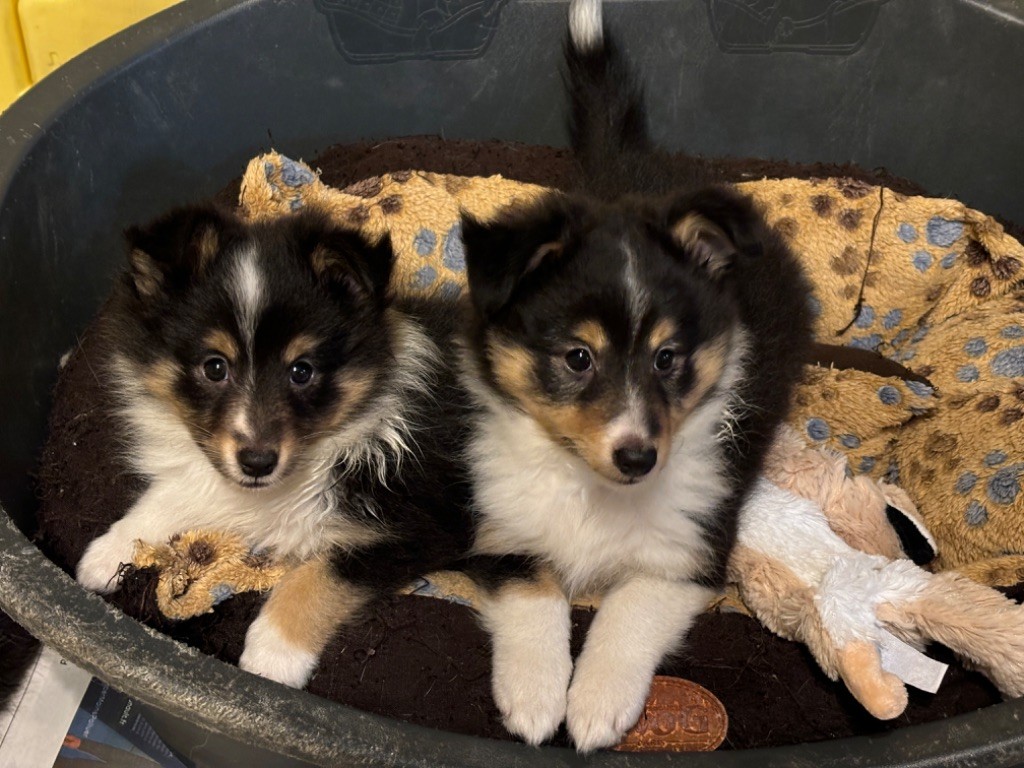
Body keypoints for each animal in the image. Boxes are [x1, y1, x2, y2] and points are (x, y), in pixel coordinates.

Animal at [75, 205, 471, 692]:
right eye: (214, 367)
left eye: (302, 370)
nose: (258, 463)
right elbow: (169, 496)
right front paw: (106, 554)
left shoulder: (422, 525)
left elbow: (320, 573)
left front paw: (272, 655)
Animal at [460, 0, 811, 757]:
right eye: (578, 357)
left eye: (667, 358)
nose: (638, 458)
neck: (592, 487)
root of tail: (633, 164)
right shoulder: (502, 530)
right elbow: (534, 595)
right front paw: (535, 697)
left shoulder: (691, 547)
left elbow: (630, 607)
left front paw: (596, 705)